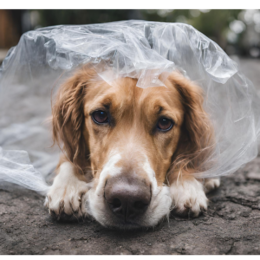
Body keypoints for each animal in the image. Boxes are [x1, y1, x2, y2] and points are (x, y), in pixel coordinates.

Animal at [44, 65, 219, 230]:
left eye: (164, 122)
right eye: (100, 115)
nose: (127, 200)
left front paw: (186, 184)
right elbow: (69, 157)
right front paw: (67, 187)